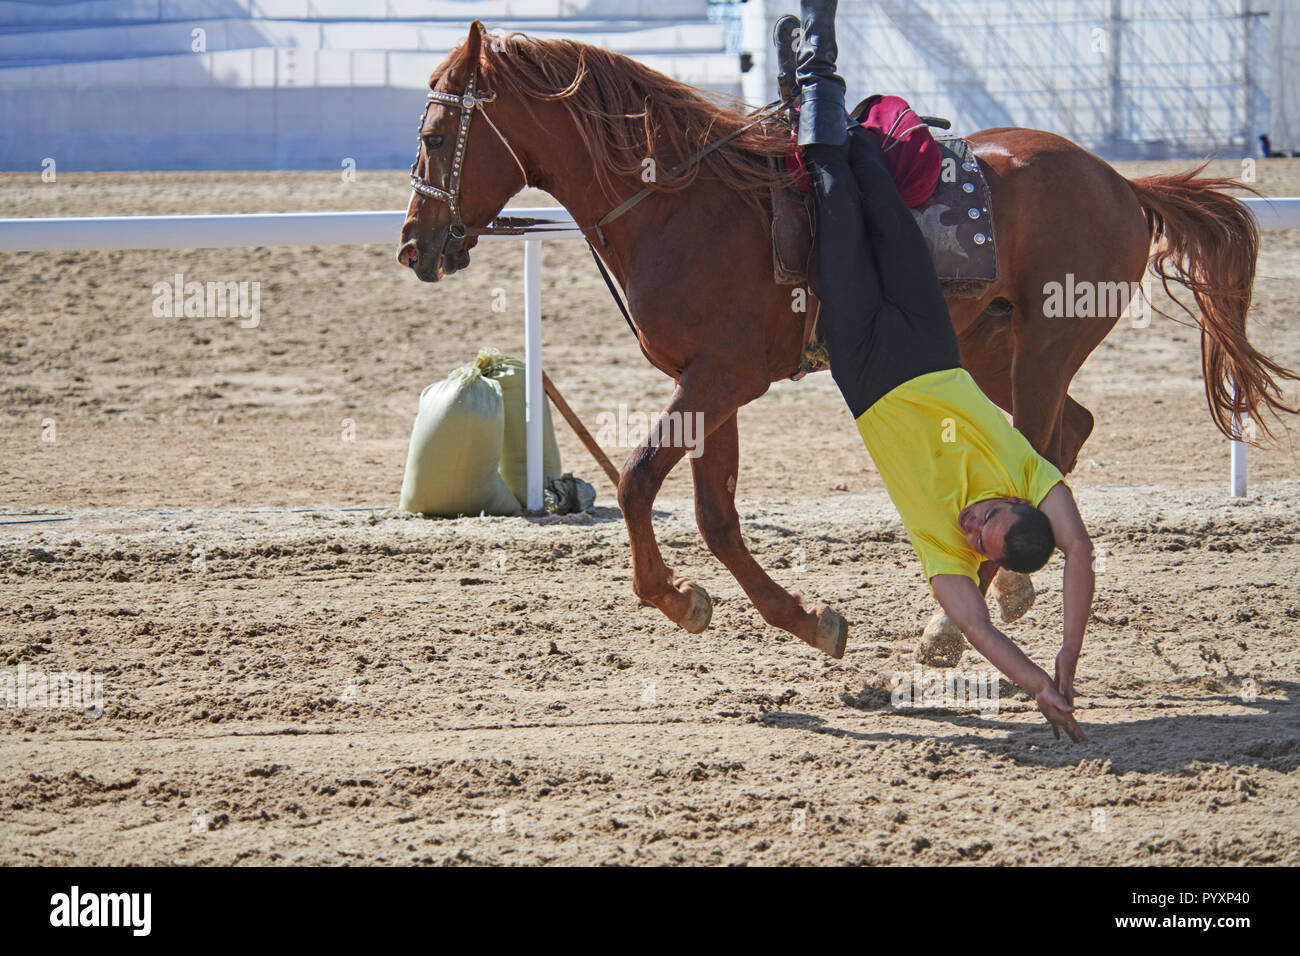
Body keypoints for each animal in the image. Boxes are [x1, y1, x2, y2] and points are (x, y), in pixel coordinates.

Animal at [397, 26, 1300, 660]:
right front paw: (799, 619)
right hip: (992, 349)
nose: (413, 245)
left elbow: (637, 479)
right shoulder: (711, 382)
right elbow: (716, 514)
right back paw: (1005, 593)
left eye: (436, 139)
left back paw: (954, 625)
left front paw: (673, 595)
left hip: (1046, 345)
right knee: (1070, 432)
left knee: (1042, 446)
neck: (683, 198)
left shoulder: (720, 376)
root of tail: (1120, 183)